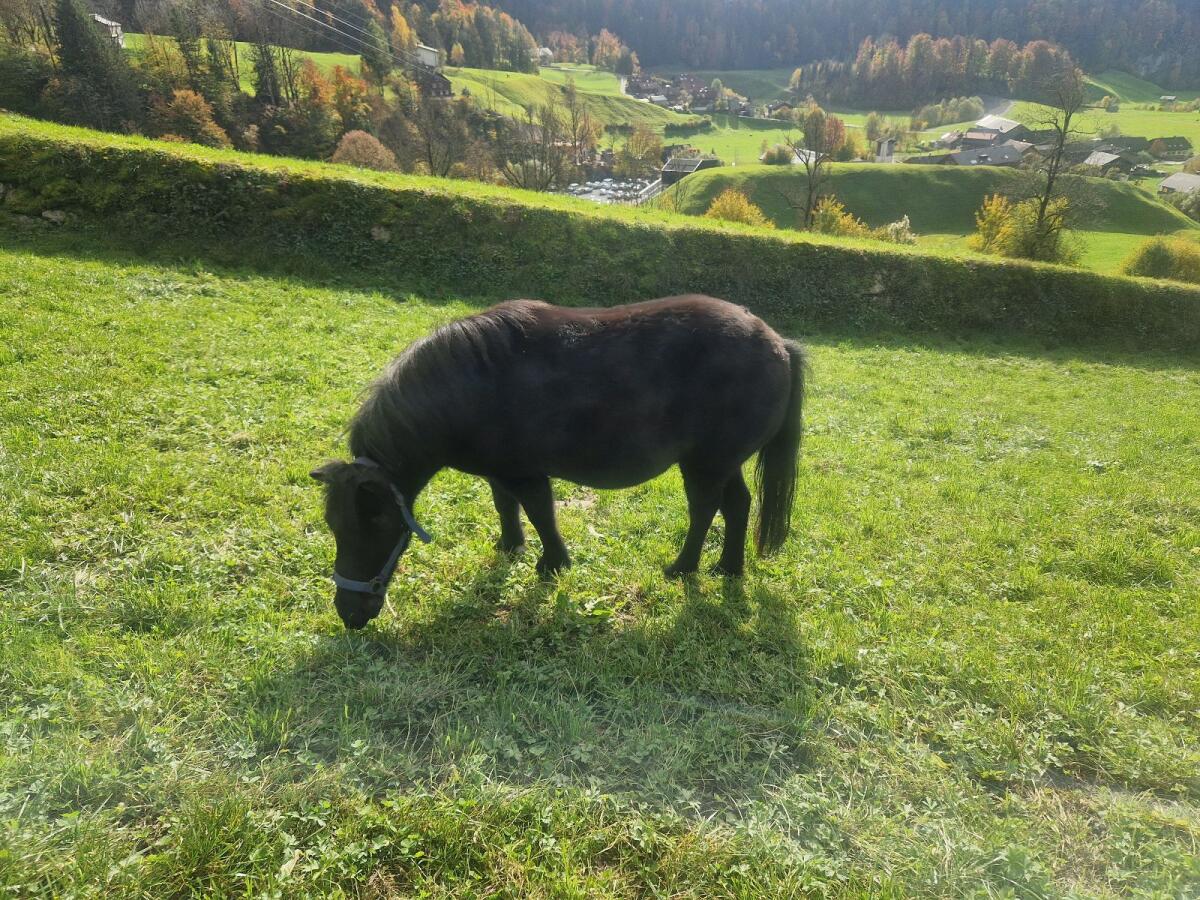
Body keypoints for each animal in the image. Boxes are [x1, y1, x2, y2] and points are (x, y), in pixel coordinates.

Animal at [311, 294, 807, 629]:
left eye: (377, 522)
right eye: (334, 526)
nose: (349, 614)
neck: (467, 386)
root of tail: (779, 342)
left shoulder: (526, 474)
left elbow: (539, 513)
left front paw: (553, 564)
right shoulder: (499, 473)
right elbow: (505, 507)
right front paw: (510, 547)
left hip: (705, 463)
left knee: (705, 510)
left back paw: (683, 568)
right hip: (724, 462)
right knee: (738, 505)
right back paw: (729, 568)